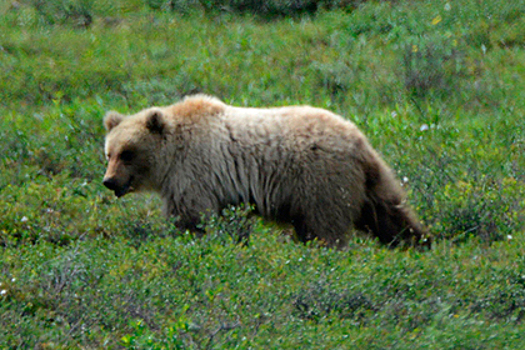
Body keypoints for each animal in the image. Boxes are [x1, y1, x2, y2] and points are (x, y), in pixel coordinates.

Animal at [103, 94, 430, 247]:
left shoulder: (194, 172)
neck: (170, 158)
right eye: (108, 153)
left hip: (319, 179)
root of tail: (357, 138)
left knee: (326, 227)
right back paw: (418, 241)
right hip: (363, 179)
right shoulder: (222, 189)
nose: (109, 181)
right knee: (387, 210)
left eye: (127, 153)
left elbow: (193, 218)